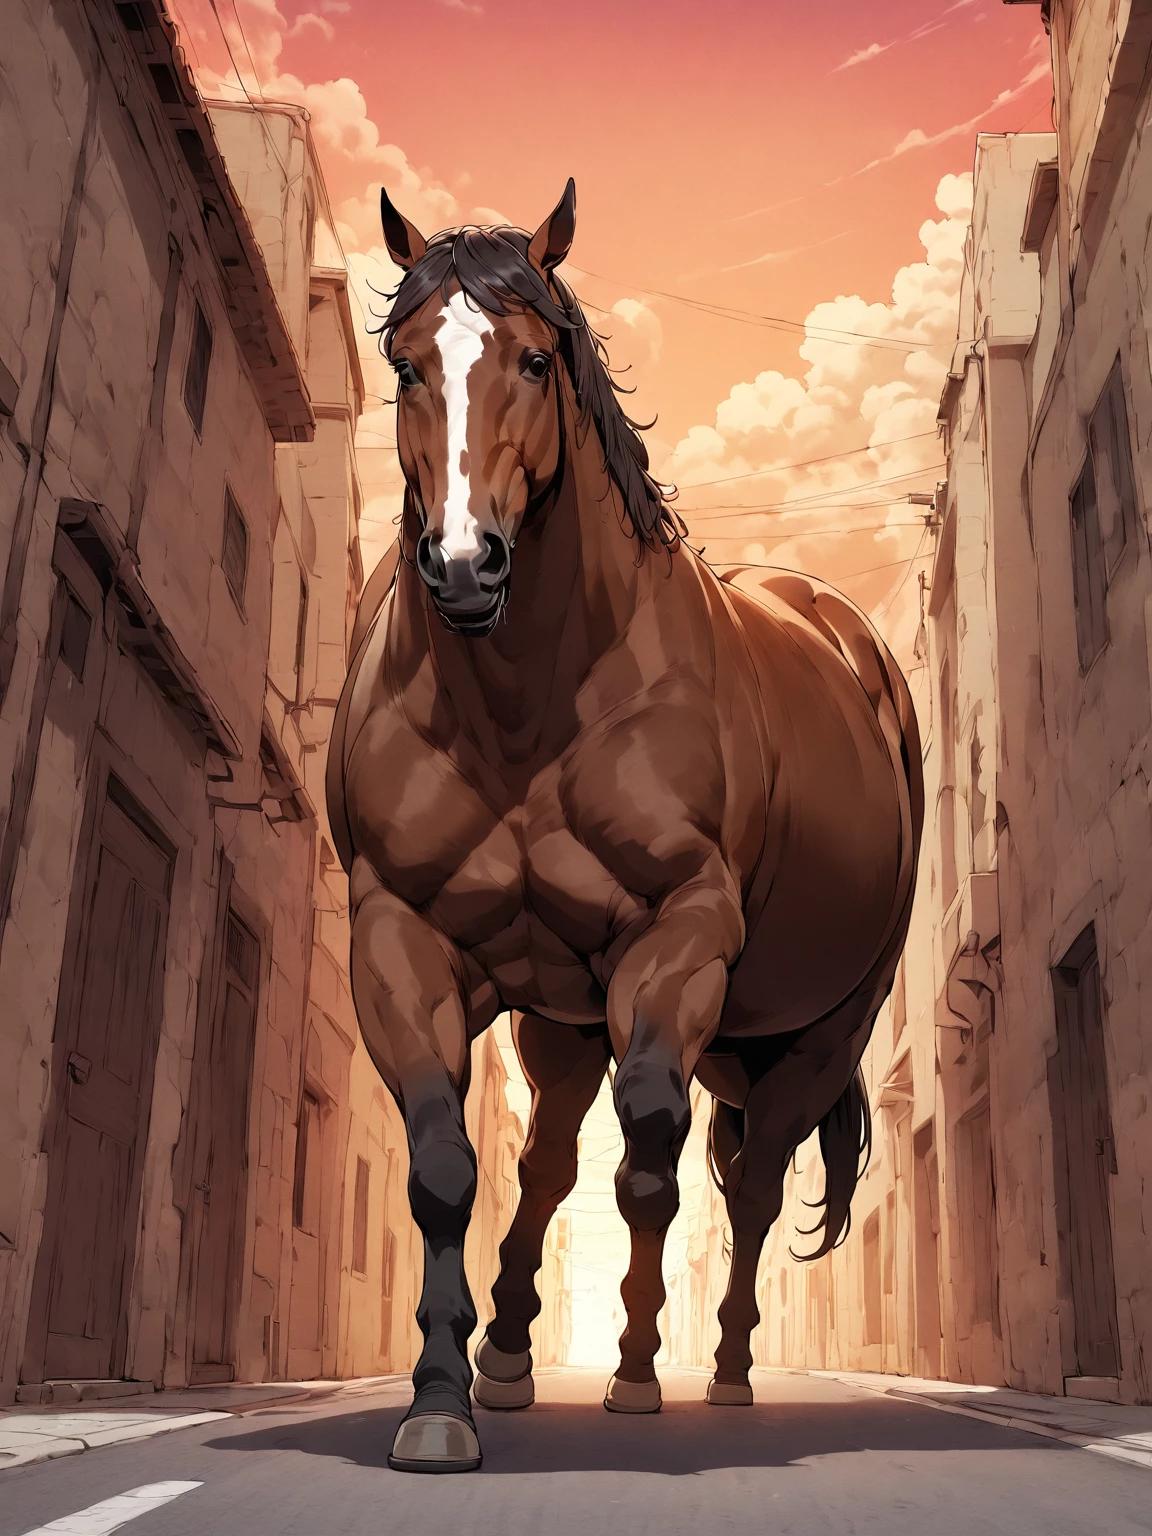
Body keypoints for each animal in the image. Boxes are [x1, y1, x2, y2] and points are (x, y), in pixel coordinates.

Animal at [326, 179, 924, 1474]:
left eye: (536, 359)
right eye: (404, 366)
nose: (464, 566)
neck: (525, 709)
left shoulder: (677, 939)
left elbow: (651, 1164)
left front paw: (640, 1375)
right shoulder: (401, 939)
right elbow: (452, 1170)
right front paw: (441, 1402)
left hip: (817, 1031)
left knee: (747, 1184)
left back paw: (725, 1372)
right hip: (560, 1015)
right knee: (550, 1162)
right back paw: (509, 1357)